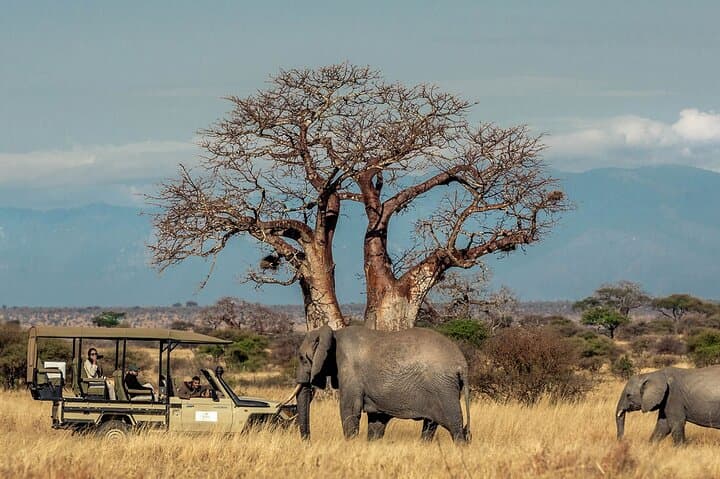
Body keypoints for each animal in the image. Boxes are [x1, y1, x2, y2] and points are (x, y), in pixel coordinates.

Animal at [290, 325, 471, 443]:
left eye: (302, 358)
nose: (308, 442)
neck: (333, 333)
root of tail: (462, 364)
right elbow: (377, 419)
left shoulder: (350, 371)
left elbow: (349, 409)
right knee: (431, 425)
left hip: (443, 388)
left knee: (454, 424)